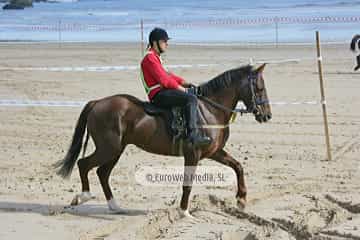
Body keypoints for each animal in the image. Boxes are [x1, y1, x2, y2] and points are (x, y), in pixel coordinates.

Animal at [54, 63, 272, 218]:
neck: (209, 110)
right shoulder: (193, 155)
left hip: (116, 150)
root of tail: (97, 103)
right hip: (109, 149)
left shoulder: (214, 152)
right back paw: (83, 196)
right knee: (84, 164)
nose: (267, 115)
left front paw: (241, 200)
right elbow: (187, 183)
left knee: (102, 173)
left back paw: (114, 206)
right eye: (260, 88)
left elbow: (238, 166)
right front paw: (184, 212)